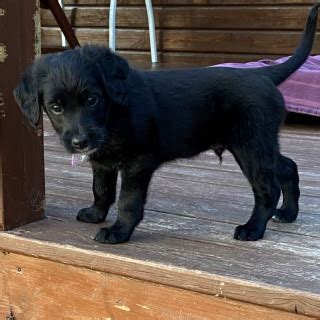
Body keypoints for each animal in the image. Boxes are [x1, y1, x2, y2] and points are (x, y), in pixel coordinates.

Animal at [13, 5, 318, 244]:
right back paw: (288, 213)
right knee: (287, 167)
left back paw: (253, 229)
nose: (80, 142)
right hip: (260, 143)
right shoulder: (103, 162)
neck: (116, 112)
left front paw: (118, 231)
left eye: (91, 99)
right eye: (56, 107)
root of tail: (264, 75)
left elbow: (128, 200)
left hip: (250, 146)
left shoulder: (138, 161)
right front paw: (95, 214)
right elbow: (101, 190)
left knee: (267, 188)